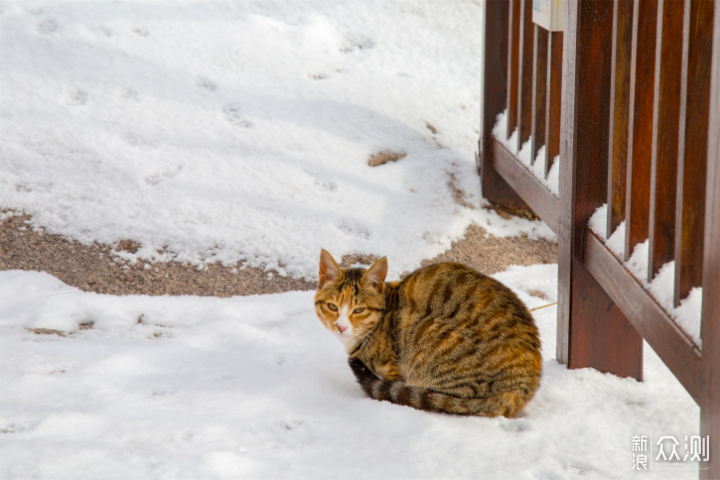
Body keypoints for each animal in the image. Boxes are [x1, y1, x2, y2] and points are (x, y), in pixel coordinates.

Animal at [314, 249, 540, 418]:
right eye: (332, 306)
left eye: (359, 310)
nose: (341, 327)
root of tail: (522, 384)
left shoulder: (396, 369)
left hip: (432, 333)